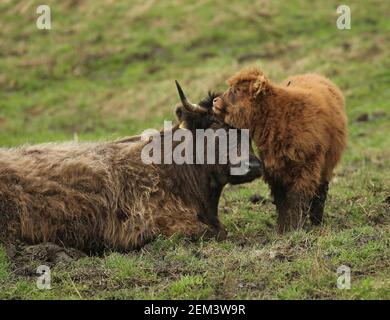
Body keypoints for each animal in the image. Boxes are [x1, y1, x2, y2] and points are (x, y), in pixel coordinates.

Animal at [213, 67, 348, 232]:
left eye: (236, 90)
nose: (214, 101)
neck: (279, 116)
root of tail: (317, 76)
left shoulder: (307, 167)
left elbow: (298, 197)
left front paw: (296, 227)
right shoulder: (274, 169)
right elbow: (281, 199)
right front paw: (283, 228)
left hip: (326, 165)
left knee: (321, 191)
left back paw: (317, 221)